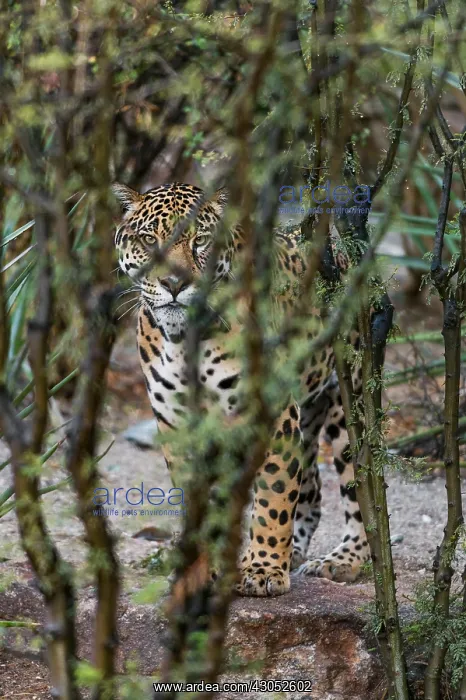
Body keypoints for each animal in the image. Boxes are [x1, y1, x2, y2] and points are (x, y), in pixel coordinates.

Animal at [112, 180, 370, 597]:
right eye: (149, 240)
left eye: (201, 240)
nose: (173, 284)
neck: (185, 340)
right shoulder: (179, 426)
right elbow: (198, 504)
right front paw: (202, 571)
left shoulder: (274, 416)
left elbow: (274, 495)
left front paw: (263, 569)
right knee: (311, 486)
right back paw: (293, 550)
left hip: (348, 404)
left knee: (357, 487)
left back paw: (343, 559)